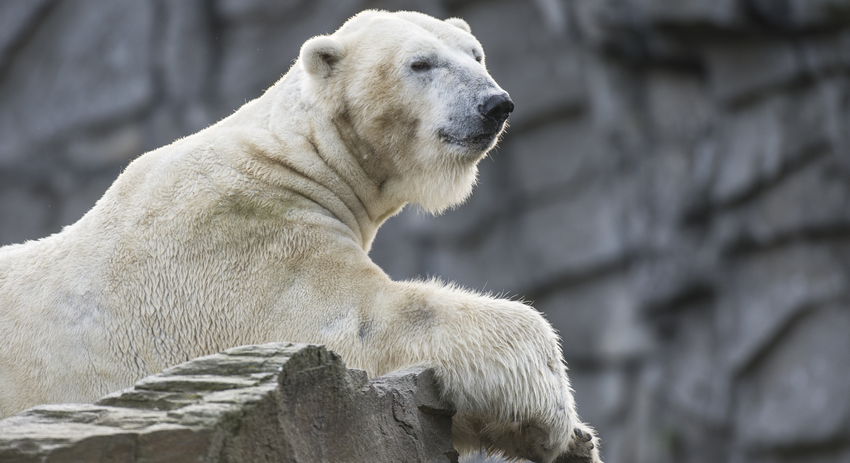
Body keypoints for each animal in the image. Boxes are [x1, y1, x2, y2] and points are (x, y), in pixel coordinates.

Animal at [0, 10, 600, 463]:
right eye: (420, 63)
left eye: (475, 53)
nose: (494, 104)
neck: (297, 158)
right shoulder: (244, 244)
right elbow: (362, 321)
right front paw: (561, 424)